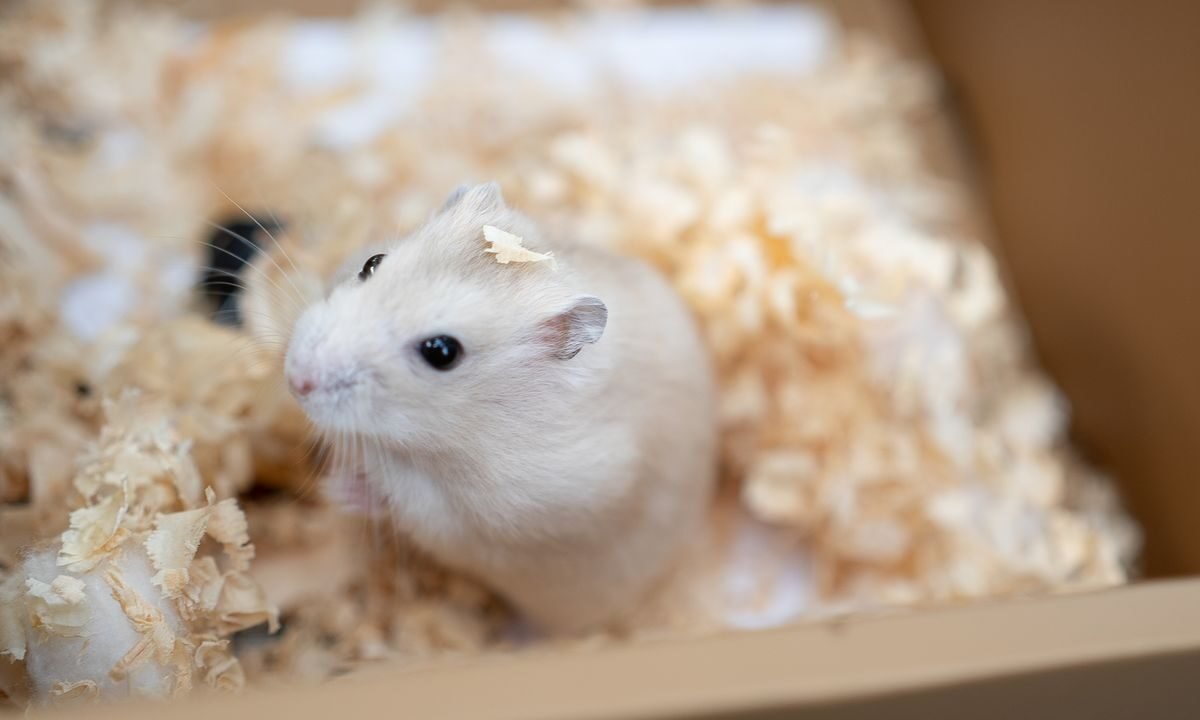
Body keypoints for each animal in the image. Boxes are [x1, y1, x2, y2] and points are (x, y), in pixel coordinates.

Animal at [284, 183, 717, 633]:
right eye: (372, 263)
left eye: (442, 352)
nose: (296, 380)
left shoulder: (487, 512)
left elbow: (405, 503)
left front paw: (338, 490)